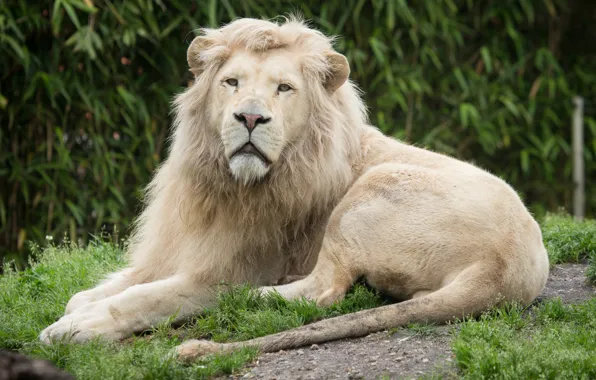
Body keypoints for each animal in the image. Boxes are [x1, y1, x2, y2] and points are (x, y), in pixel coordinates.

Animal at [38, 15, 548, 360]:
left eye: (284, 88)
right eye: (231, 82)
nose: (250, 117)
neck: (224, 184)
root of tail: (505, 270)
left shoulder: (223, 271)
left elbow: (145, 298)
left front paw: (76, 328)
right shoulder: (173, 250)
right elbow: (100, 289)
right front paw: (78, 308)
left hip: (371, 189)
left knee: (324, 290)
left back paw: (254, 297)